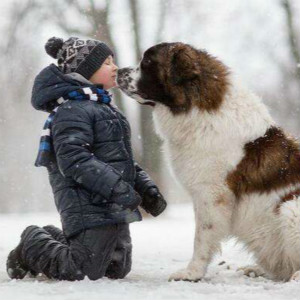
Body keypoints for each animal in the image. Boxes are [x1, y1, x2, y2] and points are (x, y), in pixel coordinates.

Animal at [116, 41, 300, 282]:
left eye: (147, 62)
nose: (118, 71)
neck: (197, 110)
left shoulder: (211, 195)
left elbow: (202, 237)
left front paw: (191, 272)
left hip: (291, 207)